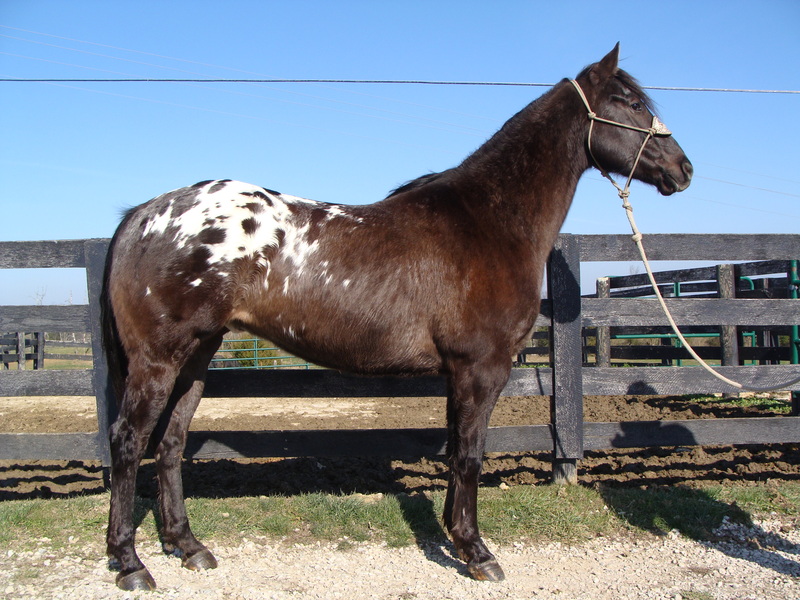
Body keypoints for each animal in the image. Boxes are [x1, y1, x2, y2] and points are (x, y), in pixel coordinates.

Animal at [100, 44, 692, 588]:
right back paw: (130, 563)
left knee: (170, 445)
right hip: (158, 359)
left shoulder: (459, 374)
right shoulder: (481, 369)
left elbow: (456, 452)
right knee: (128, 442)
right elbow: (470, 456)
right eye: (630, 103)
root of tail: (144, 215)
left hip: (197, 357)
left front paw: (457, 537)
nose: (683, 169)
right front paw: (478, 553)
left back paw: (188, 546)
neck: (491, 220)